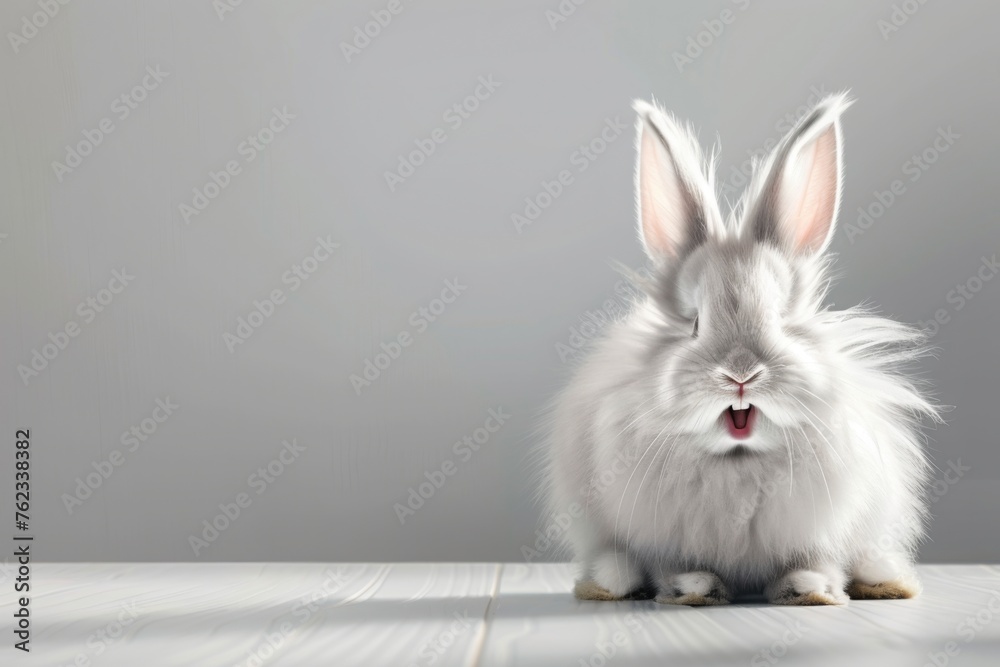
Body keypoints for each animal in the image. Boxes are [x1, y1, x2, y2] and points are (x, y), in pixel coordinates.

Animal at [542, 93, 941, 606]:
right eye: (694, 322)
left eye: (782, 320)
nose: (740, 373)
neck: (738, 462)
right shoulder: (662, 539)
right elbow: (675, 566)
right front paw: (693, 588)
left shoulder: (823, 530)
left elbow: (815, 562)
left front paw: (810, 589)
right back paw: (610, 581)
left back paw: (885, 578)